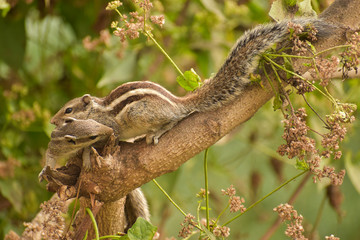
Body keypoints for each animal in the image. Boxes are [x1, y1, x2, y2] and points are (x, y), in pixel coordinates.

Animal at [49, 18, 330, 144]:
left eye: (69, 110)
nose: (52, 122)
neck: (97, 110)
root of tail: (177, 102)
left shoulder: (111, 124)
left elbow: (113, 135)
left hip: (142, 113)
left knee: (175, 119)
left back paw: (158, 130)